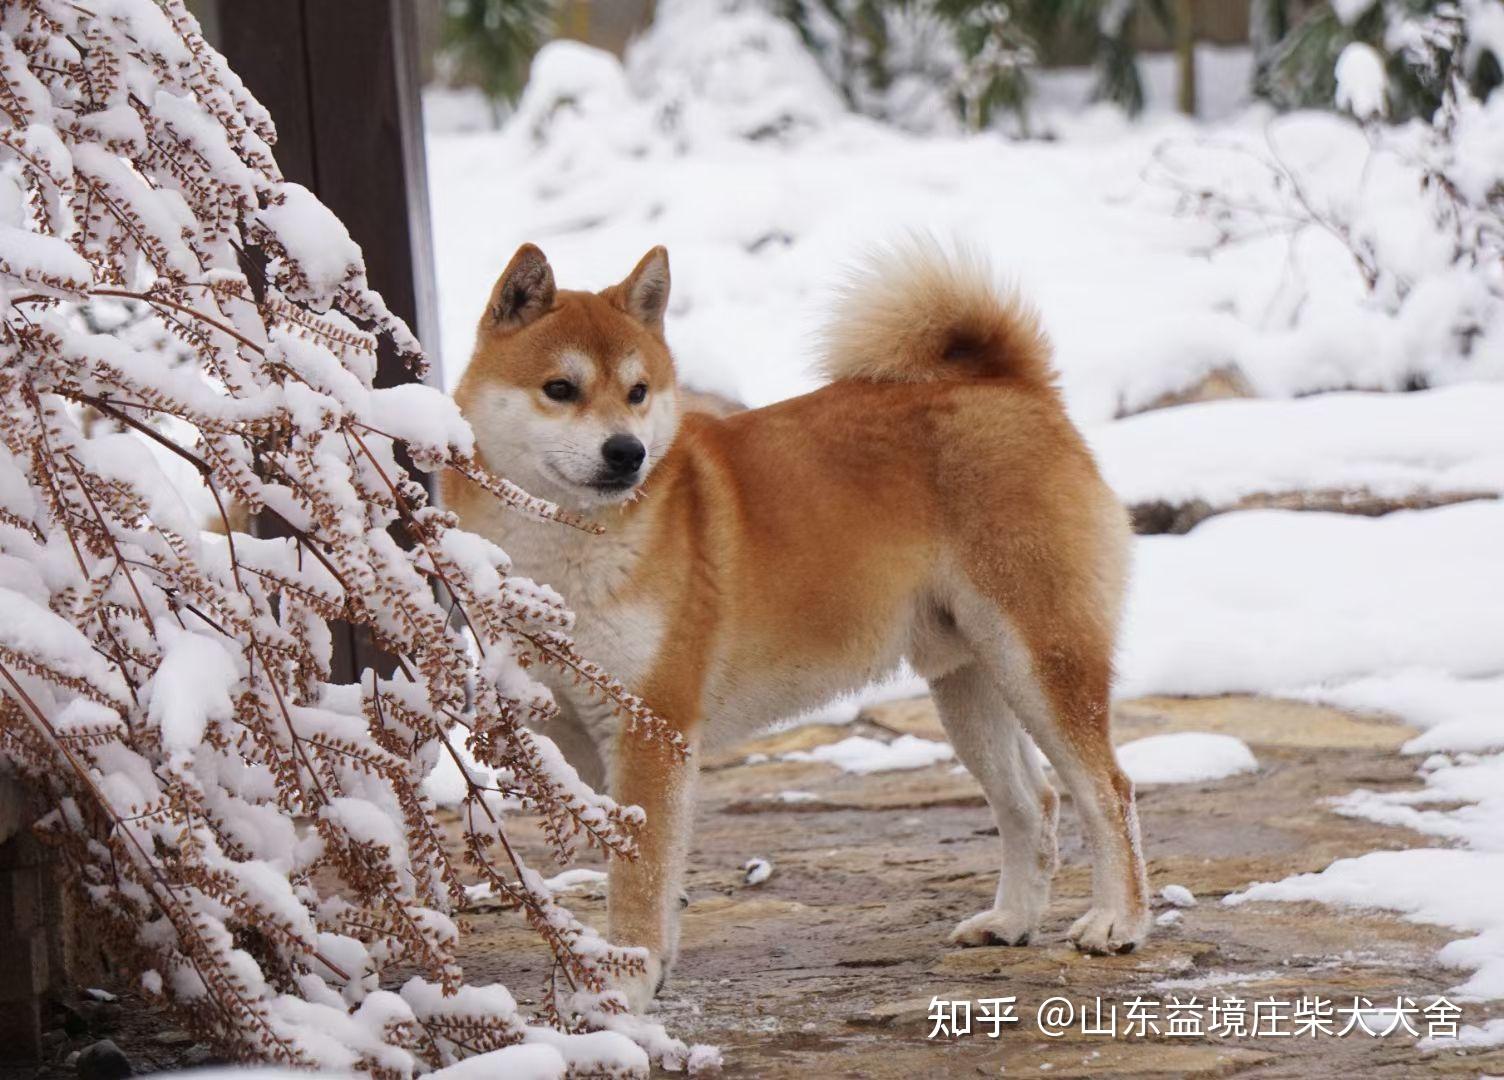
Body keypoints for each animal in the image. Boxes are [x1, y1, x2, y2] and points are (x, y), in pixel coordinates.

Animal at [445, 240, 1149, 1010]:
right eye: (560, 388)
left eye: (637, 392)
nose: (627, 452)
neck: (565, 552)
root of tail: (1012, 386)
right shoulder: (578, 736)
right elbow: (635, 866)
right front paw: (626, 969)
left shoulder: (651, 725)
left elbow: (638, 874)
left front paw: (626, 982)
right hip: (967, 683)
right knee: (1032, 803)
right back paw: (1011, 921)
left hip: (1038, 659)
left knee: (1107, 791)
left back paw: (1117, 922)